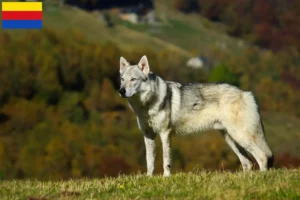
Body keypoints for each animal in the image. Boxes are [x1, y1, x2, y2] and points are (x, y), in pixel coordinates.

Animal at [118, 55, 274, 176]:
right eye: (122, 79)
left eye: (133, 79)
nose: (121, 91)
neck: (146, 105)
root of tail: (247, 93)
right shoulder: (148, 135)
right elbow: (149, 161)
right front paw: (149, 178)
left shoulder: (165, 134)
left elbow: (166, 161)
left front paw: (166, 178)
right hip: (231, 138)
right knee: (248, 162)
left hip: (240, 136)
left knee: (262, 157)